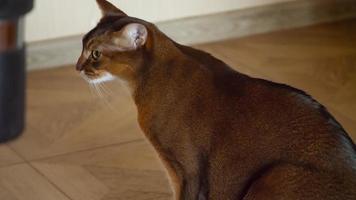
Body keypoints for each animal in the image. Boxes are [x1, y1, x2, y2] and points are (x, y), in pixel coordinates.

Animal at [76, 0, 356, 199]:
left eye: (95, 54)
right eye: (82, 47)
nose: (77, 67)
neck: (155, 75)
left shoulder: (188, 171)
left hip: (276, 175)